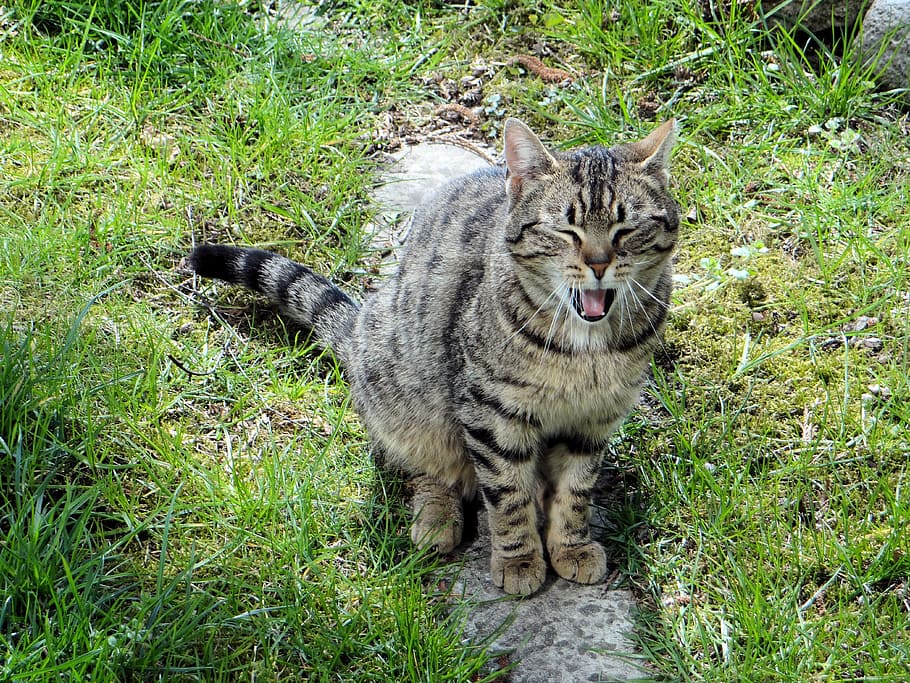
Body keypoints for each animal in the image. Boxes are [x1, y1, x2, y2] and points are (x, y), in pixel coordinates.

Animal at [189, 117, 680, 592]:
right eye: (565, 228)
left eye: (626, 228)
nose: (598, 264)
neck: (586, 350)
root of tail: (361, 323)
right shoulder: (490, 413)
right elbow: (507, 495)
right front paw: (518, 559)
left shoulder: (594, 419)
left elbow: (574, 491)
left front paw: (571, 546)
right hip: (408, 399)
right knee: (428, 468)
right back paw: (437, 519)